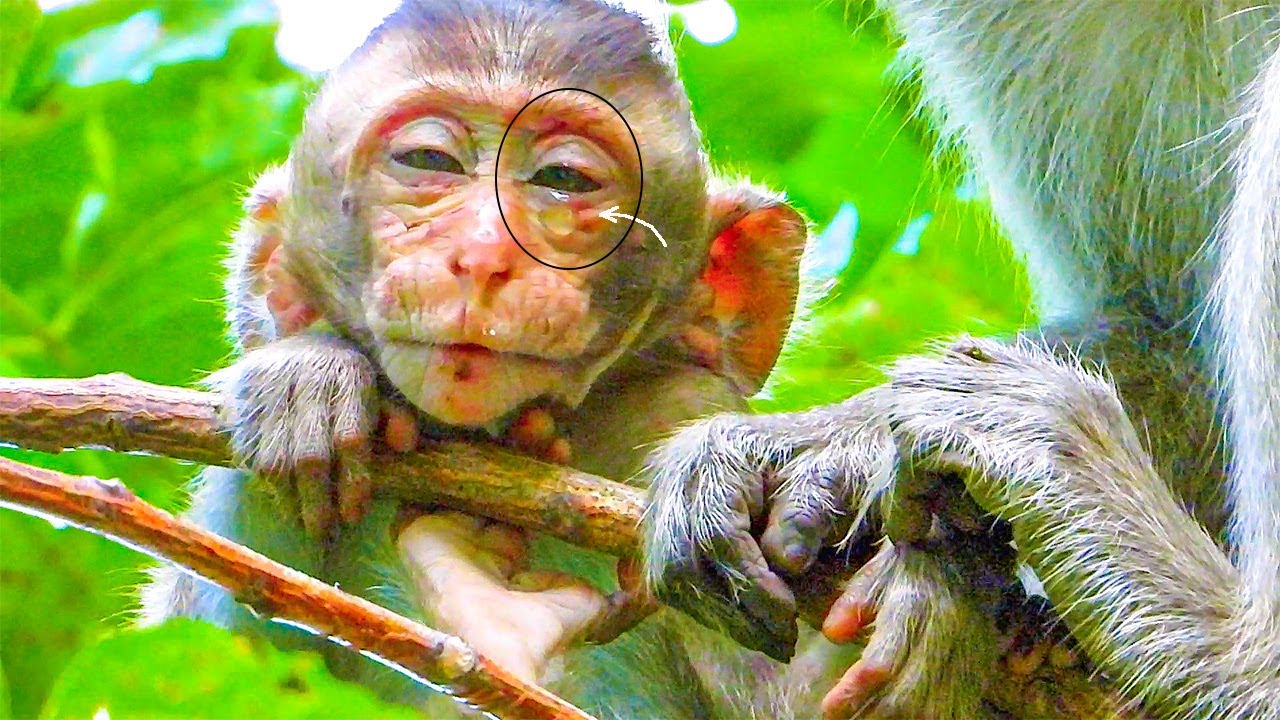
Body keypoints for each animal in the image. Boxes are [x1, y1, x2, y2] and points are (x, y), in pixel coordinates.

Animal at [138, 0, 816, 716]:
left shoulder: (678, 402)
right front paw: (304, 375)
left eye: (563, 177)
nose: (485, 252)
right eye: (428, 159)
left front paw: (729, 468)